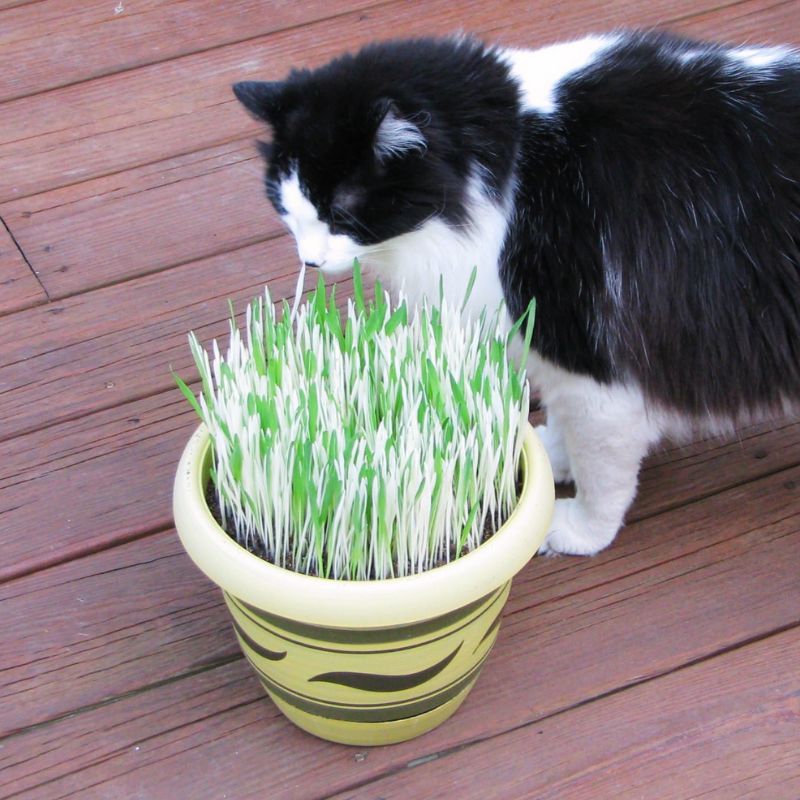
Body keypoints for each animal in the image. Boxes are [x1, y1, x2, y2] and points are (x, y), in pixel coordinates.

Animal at [231, 29, 800, 556]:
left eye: (342, 212)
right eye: (286, 207)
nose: (309, 260)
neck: (516, 160)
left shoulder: (590, 367)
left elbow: (603, 470)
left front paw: (576, 530)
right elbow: (570, 430)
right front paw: (549, 455)